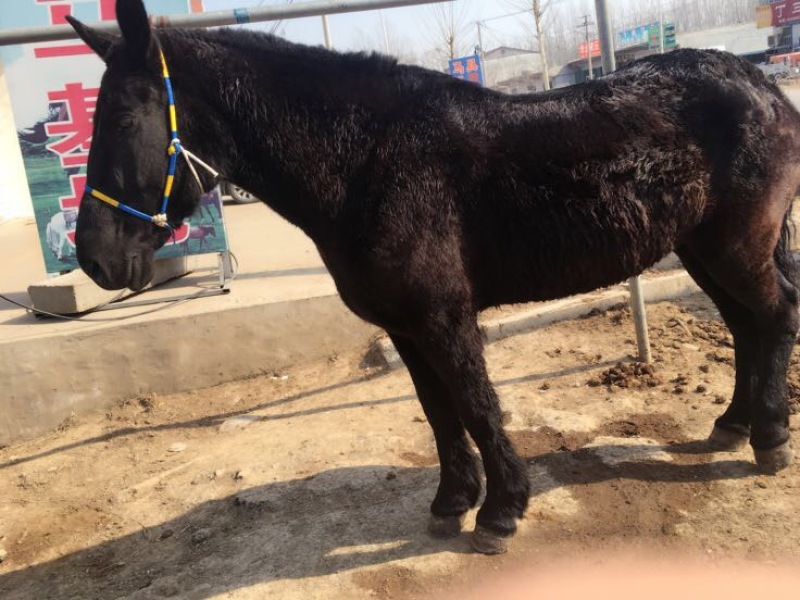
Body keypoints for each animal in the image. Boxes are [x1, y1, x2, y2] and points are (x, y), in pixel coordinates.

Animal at [68, 0, 800, 554]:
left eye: (124, 118)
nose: (94, 259)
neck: (367, 159)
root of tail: (766, 88)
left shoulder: (443, 315)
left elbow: (475, 404)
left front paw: (501, 513)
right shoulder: (405, 324)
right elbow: (438, 411)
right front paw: (453, 502)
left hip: (736, 246)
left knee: (775, 316)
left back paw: (768, 439)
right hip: (702, 248)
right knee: (746, 327)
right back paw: (731, 425)